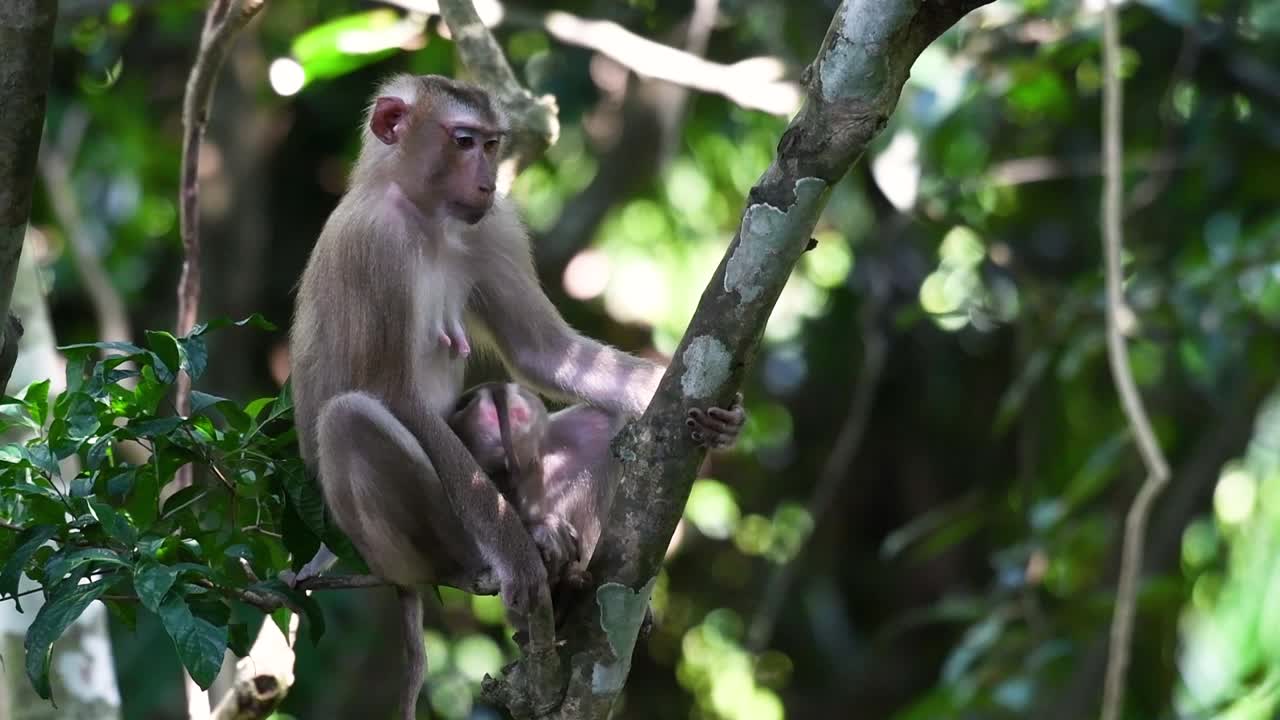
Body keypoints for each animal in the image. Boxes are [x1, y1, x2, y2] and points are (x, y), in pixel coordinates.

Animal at [287, 74, 734, 720]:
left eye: (493, 144)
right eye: (463, 140)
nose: (487, 180)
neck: (424, 215)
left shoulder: (490, 225)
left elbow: (542, 350)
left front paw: (708, 412)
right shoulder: (376, 246)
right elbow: (395, 397)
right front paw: (518, 562)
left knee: (591, 429)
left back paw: (566, 579)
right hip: (381, 547)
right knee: (352, 419)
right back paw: (488, 565)